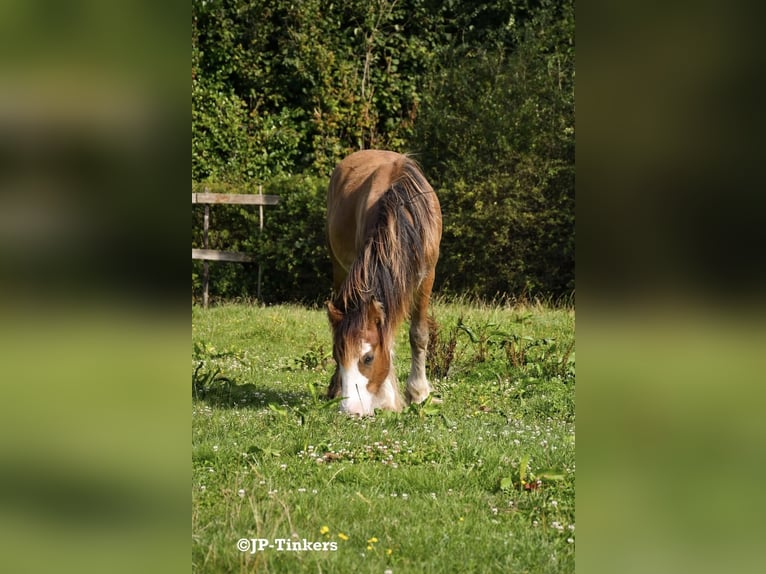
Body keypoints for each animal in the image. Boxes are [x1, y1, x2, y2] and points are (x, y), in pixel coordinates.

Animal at [326, 151, 444, 416]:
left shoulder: (427, 276)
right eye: (337, 356)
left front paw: (419, 393)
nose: (350, 410)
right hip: (339, 268)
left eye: (368, 358)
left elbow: (418, 334)